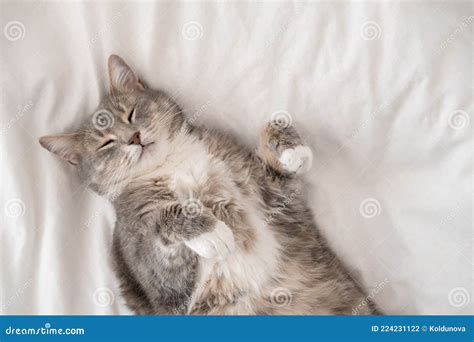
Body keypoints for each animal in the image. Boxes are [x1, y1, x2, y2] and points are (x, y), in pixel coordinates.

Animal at [39, 54, 378, 314]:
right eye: (106, 144)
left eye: (131, 114)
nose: (133, 138)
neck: (173, 163)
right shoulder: (164, 289)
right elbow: (163, 223)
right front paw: (209, 229)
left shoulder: (272, 196)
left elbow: (276, 161)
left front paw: (286, 147)